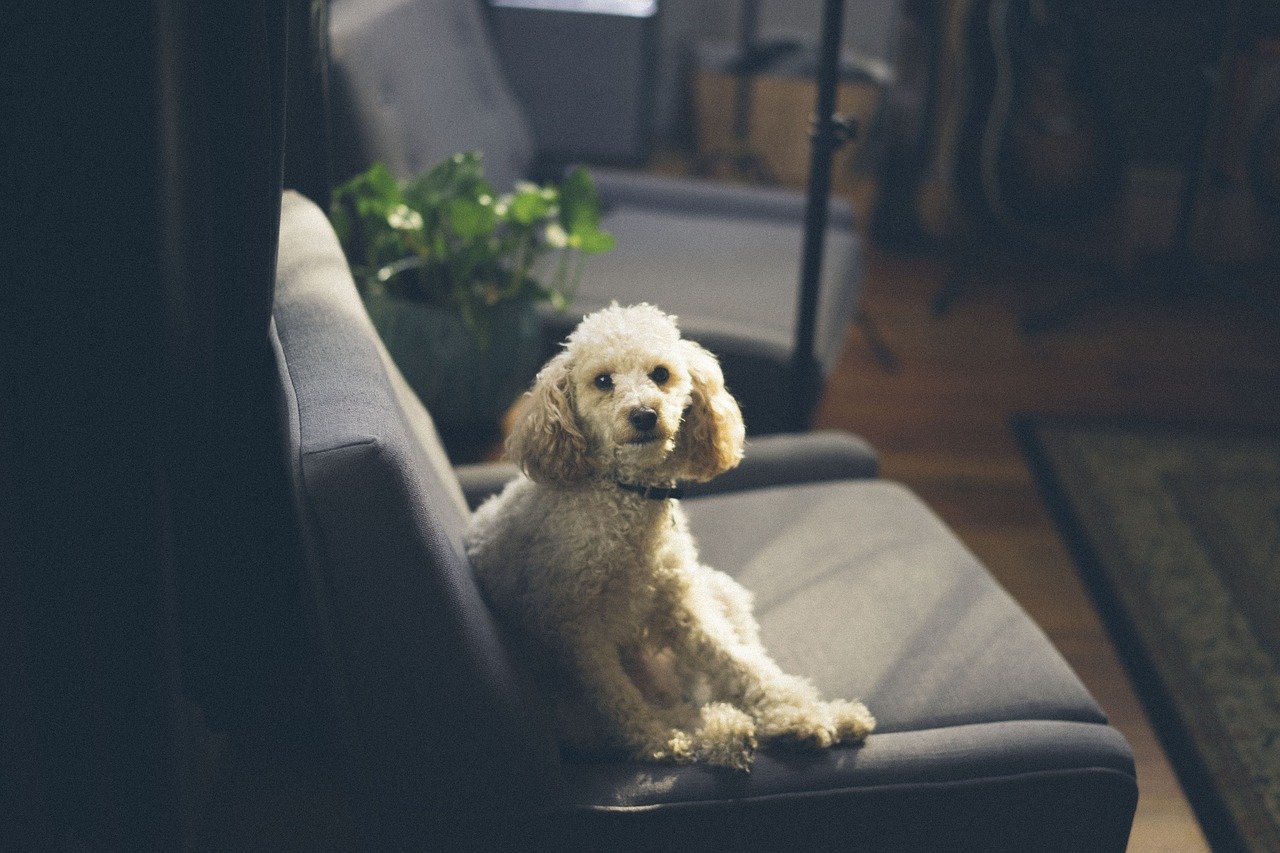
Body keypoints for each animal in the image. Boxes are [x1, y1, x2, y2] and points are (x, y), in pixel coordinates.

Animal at [465, 302, 875, 768]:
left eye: (660, 374)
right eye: (602, 381)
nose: (645, 414)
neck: (627, 497)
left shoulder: (682, 604)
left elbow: (738, 663)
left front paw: (796, 713)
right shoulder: (573, 627)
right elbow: (620, 702)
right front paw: (661, 738)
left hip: (722, 593)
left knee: (736, 669)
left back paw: (828, 716)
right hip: (575, 713)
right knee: (683, 715)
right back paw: (720, 733)